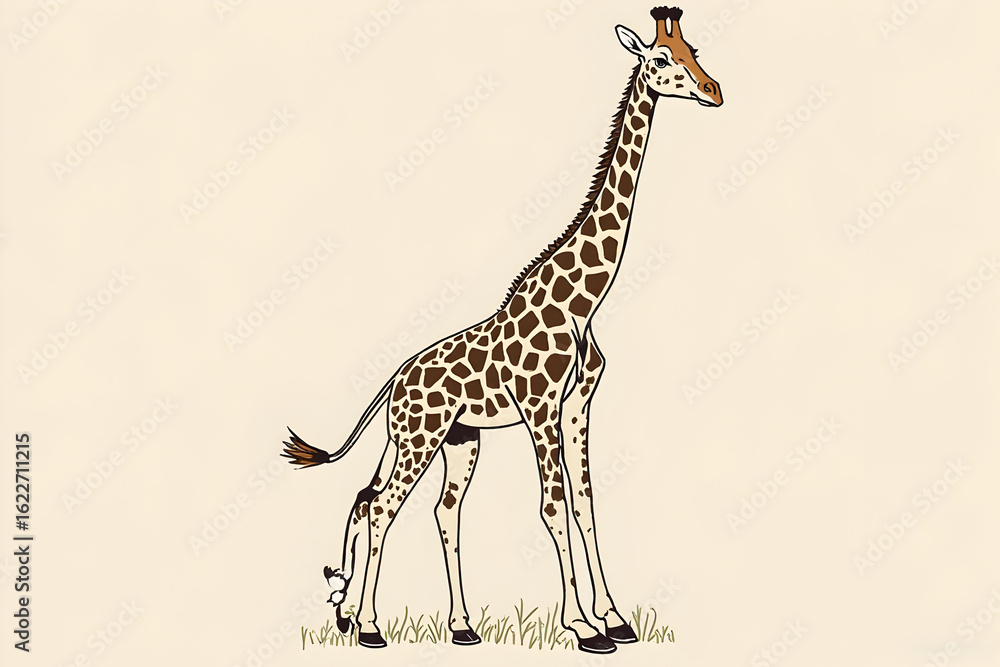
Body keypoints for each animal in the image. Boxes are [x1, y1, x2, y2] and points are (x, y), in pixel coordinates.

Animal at [282, 5, 722, 654]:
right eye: (663, 59)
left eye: (694, 49)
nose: (714, 90)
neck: (582, 301)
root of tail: (392, 385)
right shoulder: (539, 407)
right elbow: (552, 507)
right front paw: (583, 627)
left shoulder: (577, 405)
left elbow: (586, 503)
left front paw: (615, 618)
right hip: (419, 439)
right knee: (382, 507)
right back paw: (368, 627)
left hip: (456, 441)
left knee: (419, 507)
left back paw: (449, 624)